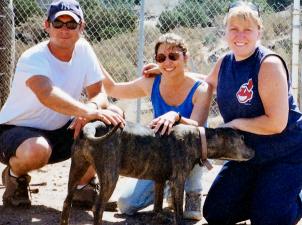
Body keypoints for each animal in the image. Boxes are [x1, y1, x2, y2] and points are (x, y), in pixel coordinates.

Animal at [61, 120, 255, 224]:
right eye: (242, 138)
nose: (254, 151)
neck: (199, 138)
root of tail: (93, 125)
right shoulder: (178, 181)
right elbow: (178, 212)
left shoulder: (160, 181)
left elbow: (158, 206)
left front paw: (159, 218)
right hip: (110, 176)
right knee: (97, 208)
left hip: (76, 170)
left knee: (67, 202)